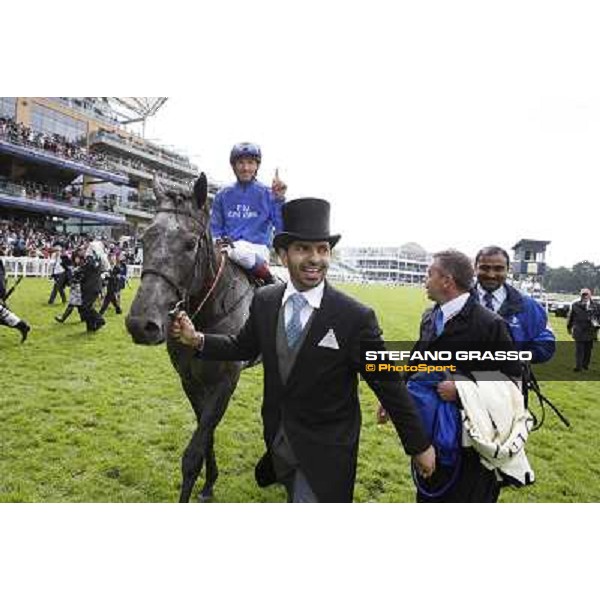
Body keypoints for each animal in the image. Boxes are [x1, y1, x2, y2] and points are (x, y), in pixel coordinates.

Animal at [127, 175, 254, 502]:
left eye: (190, 244)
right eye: (144, 239)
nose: (140, 324)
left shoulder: (226, 382)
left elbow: (193, 453)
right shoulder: (190, 380)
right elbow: (205, 432)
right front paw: (209, 483)